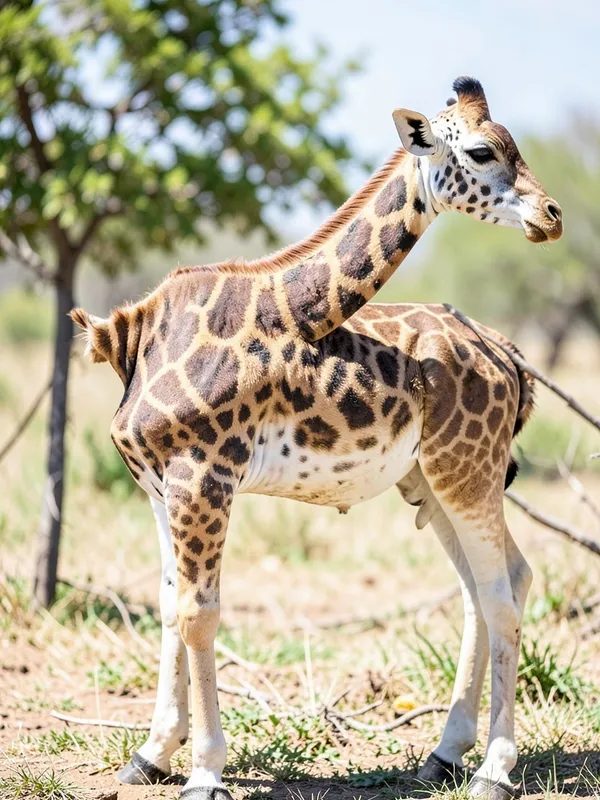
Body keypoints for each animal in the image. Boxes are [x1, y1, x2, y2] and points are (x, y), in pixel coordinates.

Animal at [70, 77, 562, 800]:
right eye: (481, 151)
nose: (550, 216)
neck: (141, 340)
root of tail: (508, 356)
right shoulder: (161, 485)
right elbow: (169, 607)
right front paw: (152, 754)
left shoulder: (205, 477)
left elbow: (199, 614)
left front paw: (205, 771)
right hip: (434, 478)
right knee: (489, 586)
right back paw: (445, 754)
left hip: (467, 469)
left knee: (502, 593)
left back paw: (494, 771)